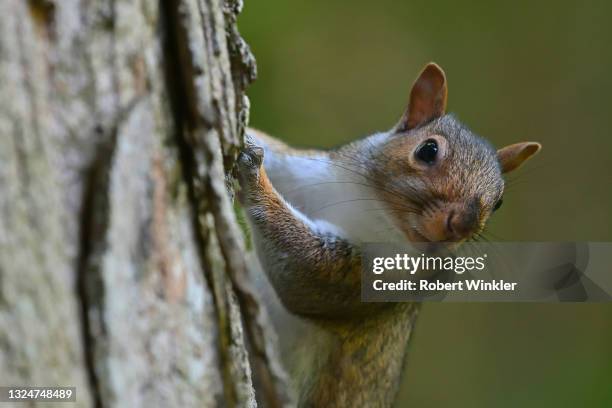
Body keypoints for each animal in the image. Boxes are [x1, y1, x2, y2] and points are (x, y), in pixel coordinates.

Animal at [238, 62, 540, 406]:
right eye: (428, 150)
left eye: (499, 201)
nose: (462, 224)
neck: (375, 212)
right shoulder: (303, 171)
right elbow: (276, 152)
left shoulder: (368, 279)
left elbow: (303, 270)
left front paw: (253, 178)